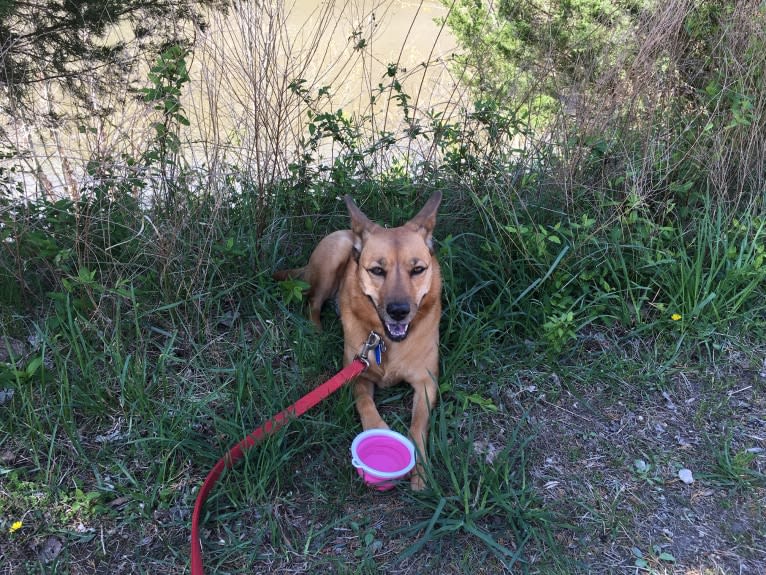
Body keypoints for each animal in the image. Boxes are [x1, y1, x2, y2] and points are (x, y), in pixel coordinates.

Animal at [276, 194, 444, 490]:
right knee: (313, 303)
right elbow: (365, 405)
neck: (387, 342)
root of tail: (350, 233)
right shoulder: (356, 374)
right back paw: (317, 331)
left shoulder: (426, 382)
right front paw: (379, 430)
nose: (398, 311)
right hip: (333, 258)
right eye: (377, 270)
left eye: (418, 269)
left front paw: (420, 469)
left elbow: (418, 424)